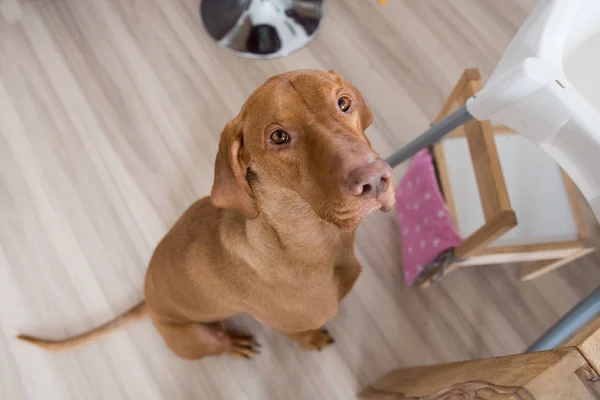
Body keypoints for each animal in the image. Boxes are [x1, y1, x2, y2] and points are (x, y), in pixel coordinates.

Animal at [17, 69, 394, 360]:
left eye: (343, 102)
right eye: (278, 136)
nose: (375, 180)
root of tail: (148, 302)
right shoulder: (288, 325)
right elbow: (301, 335)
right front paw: (313, 339)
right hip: (197, 338)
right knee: (219, 342)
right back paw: (235, 344)